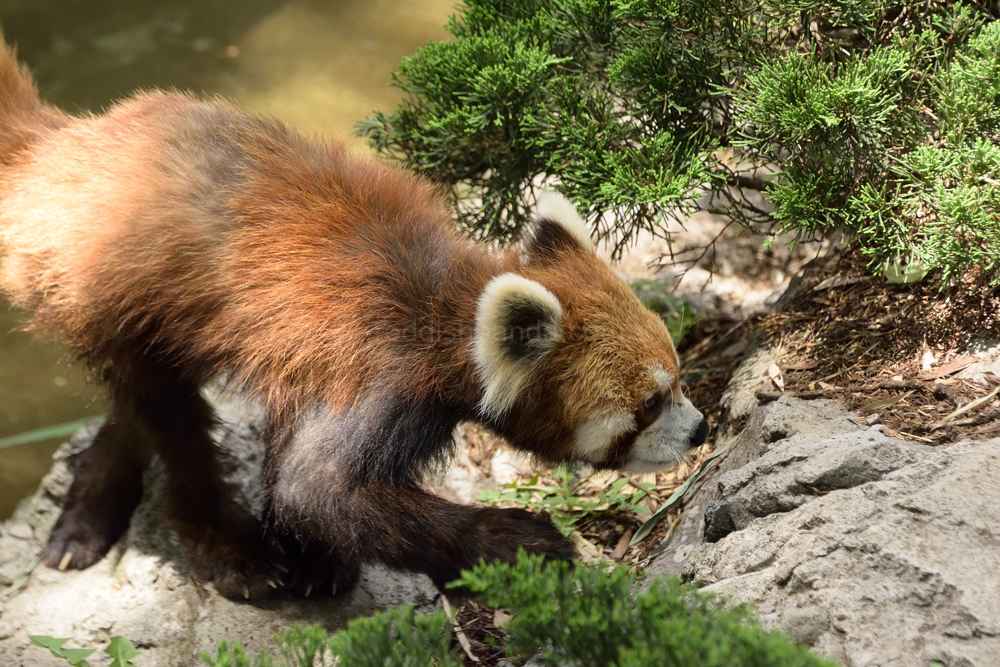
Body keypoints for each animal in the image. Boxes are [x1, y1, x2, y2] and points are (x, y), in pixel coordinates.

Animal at [0, 37, 708, 600]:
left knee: (143, 406)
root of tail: (56, 153)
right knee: (170, 418)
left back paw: (90, 504)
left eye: (678, 377)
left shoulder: (313, 371)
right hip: (102, 291)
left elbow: (297, 470)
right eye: (648, 405)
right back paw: (227, 550)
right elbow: (318, 488)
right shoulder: (380, 376)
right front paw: (514, 539)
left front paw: (317, 560)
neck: (448, 306)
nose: (701, 430)